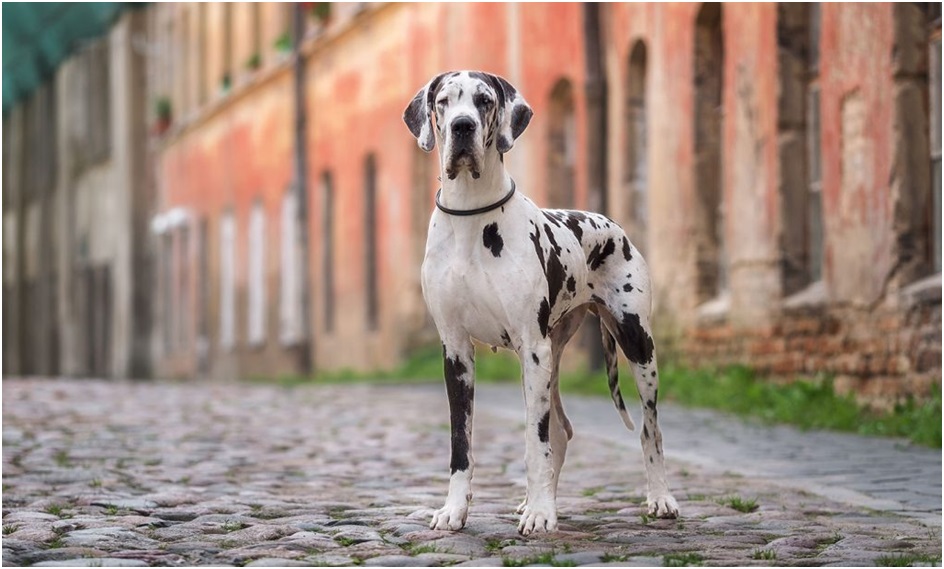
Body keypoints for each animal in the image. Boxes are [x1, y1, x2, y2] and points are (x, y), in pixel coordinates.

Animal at [402, 69, 676, 536]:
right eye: (442, 102)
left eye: (484, 100)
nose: (462, 127)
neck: (471, 218)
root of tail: (611, 224)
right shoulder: (456, 350)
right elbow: (461, 443)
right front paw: (454, 510)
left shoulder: (532, 348)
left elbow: (535, 440)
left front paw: (541, 513)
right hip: (553, 359)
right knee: (562, 430)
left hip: (636, 345)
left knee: (648, 429)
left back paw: (659, 498)